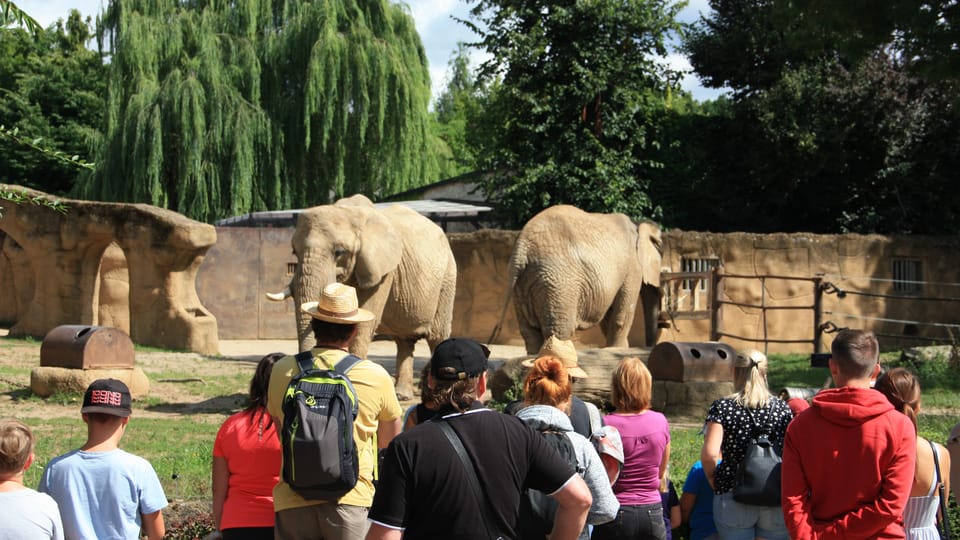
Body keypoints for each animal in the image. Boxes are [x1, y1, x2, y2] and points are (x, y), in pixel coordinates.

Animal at [264, 196, 456, 398]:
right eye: (294, 251)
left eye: (339, 252)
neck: (349, 212)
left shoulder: (382, 271)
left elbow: (365, 321)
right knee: (404, 340)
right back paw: (402, 395)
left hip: (448, 277)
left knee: (437, 336)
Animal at [498, 206, 664, 354]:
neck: (638, 225)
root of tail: (522, 248)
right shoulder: (632, 266)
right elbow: (622, 314)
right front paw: (619, 350)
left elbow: (608, 316)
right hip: (558, 281)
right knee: (559, 331)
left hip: (522, 283)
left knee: (530, 332)